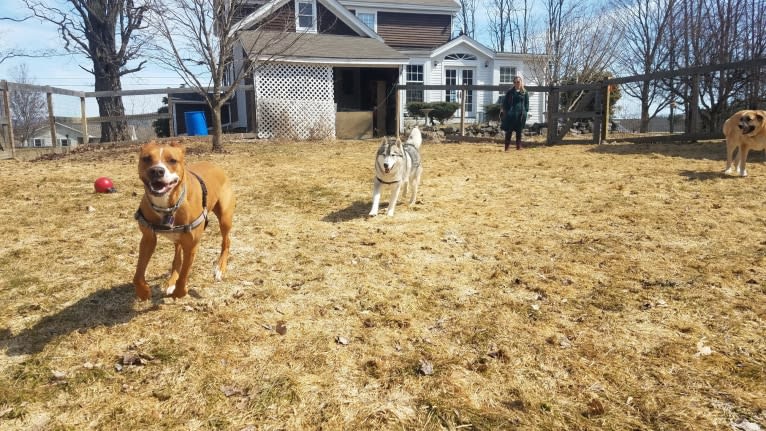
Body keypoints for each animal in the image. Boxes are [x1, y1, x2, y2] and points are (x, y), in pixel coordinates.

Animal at [133, 142, 234, 300]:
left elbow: (184, 275)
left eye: (172, 160)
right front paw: (143, 292)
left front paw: (179, 292)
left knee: (226, 242)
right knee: (177, 258)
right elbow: (138, 275)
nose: (156, 171)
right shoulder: (148, 239)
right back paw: (171, 281)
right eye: (146, 158)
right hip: (178, 237)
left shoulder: (191, 245)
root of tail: (215, 166)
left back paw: (220, 268)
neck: (168, 206)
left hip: (224, 219)